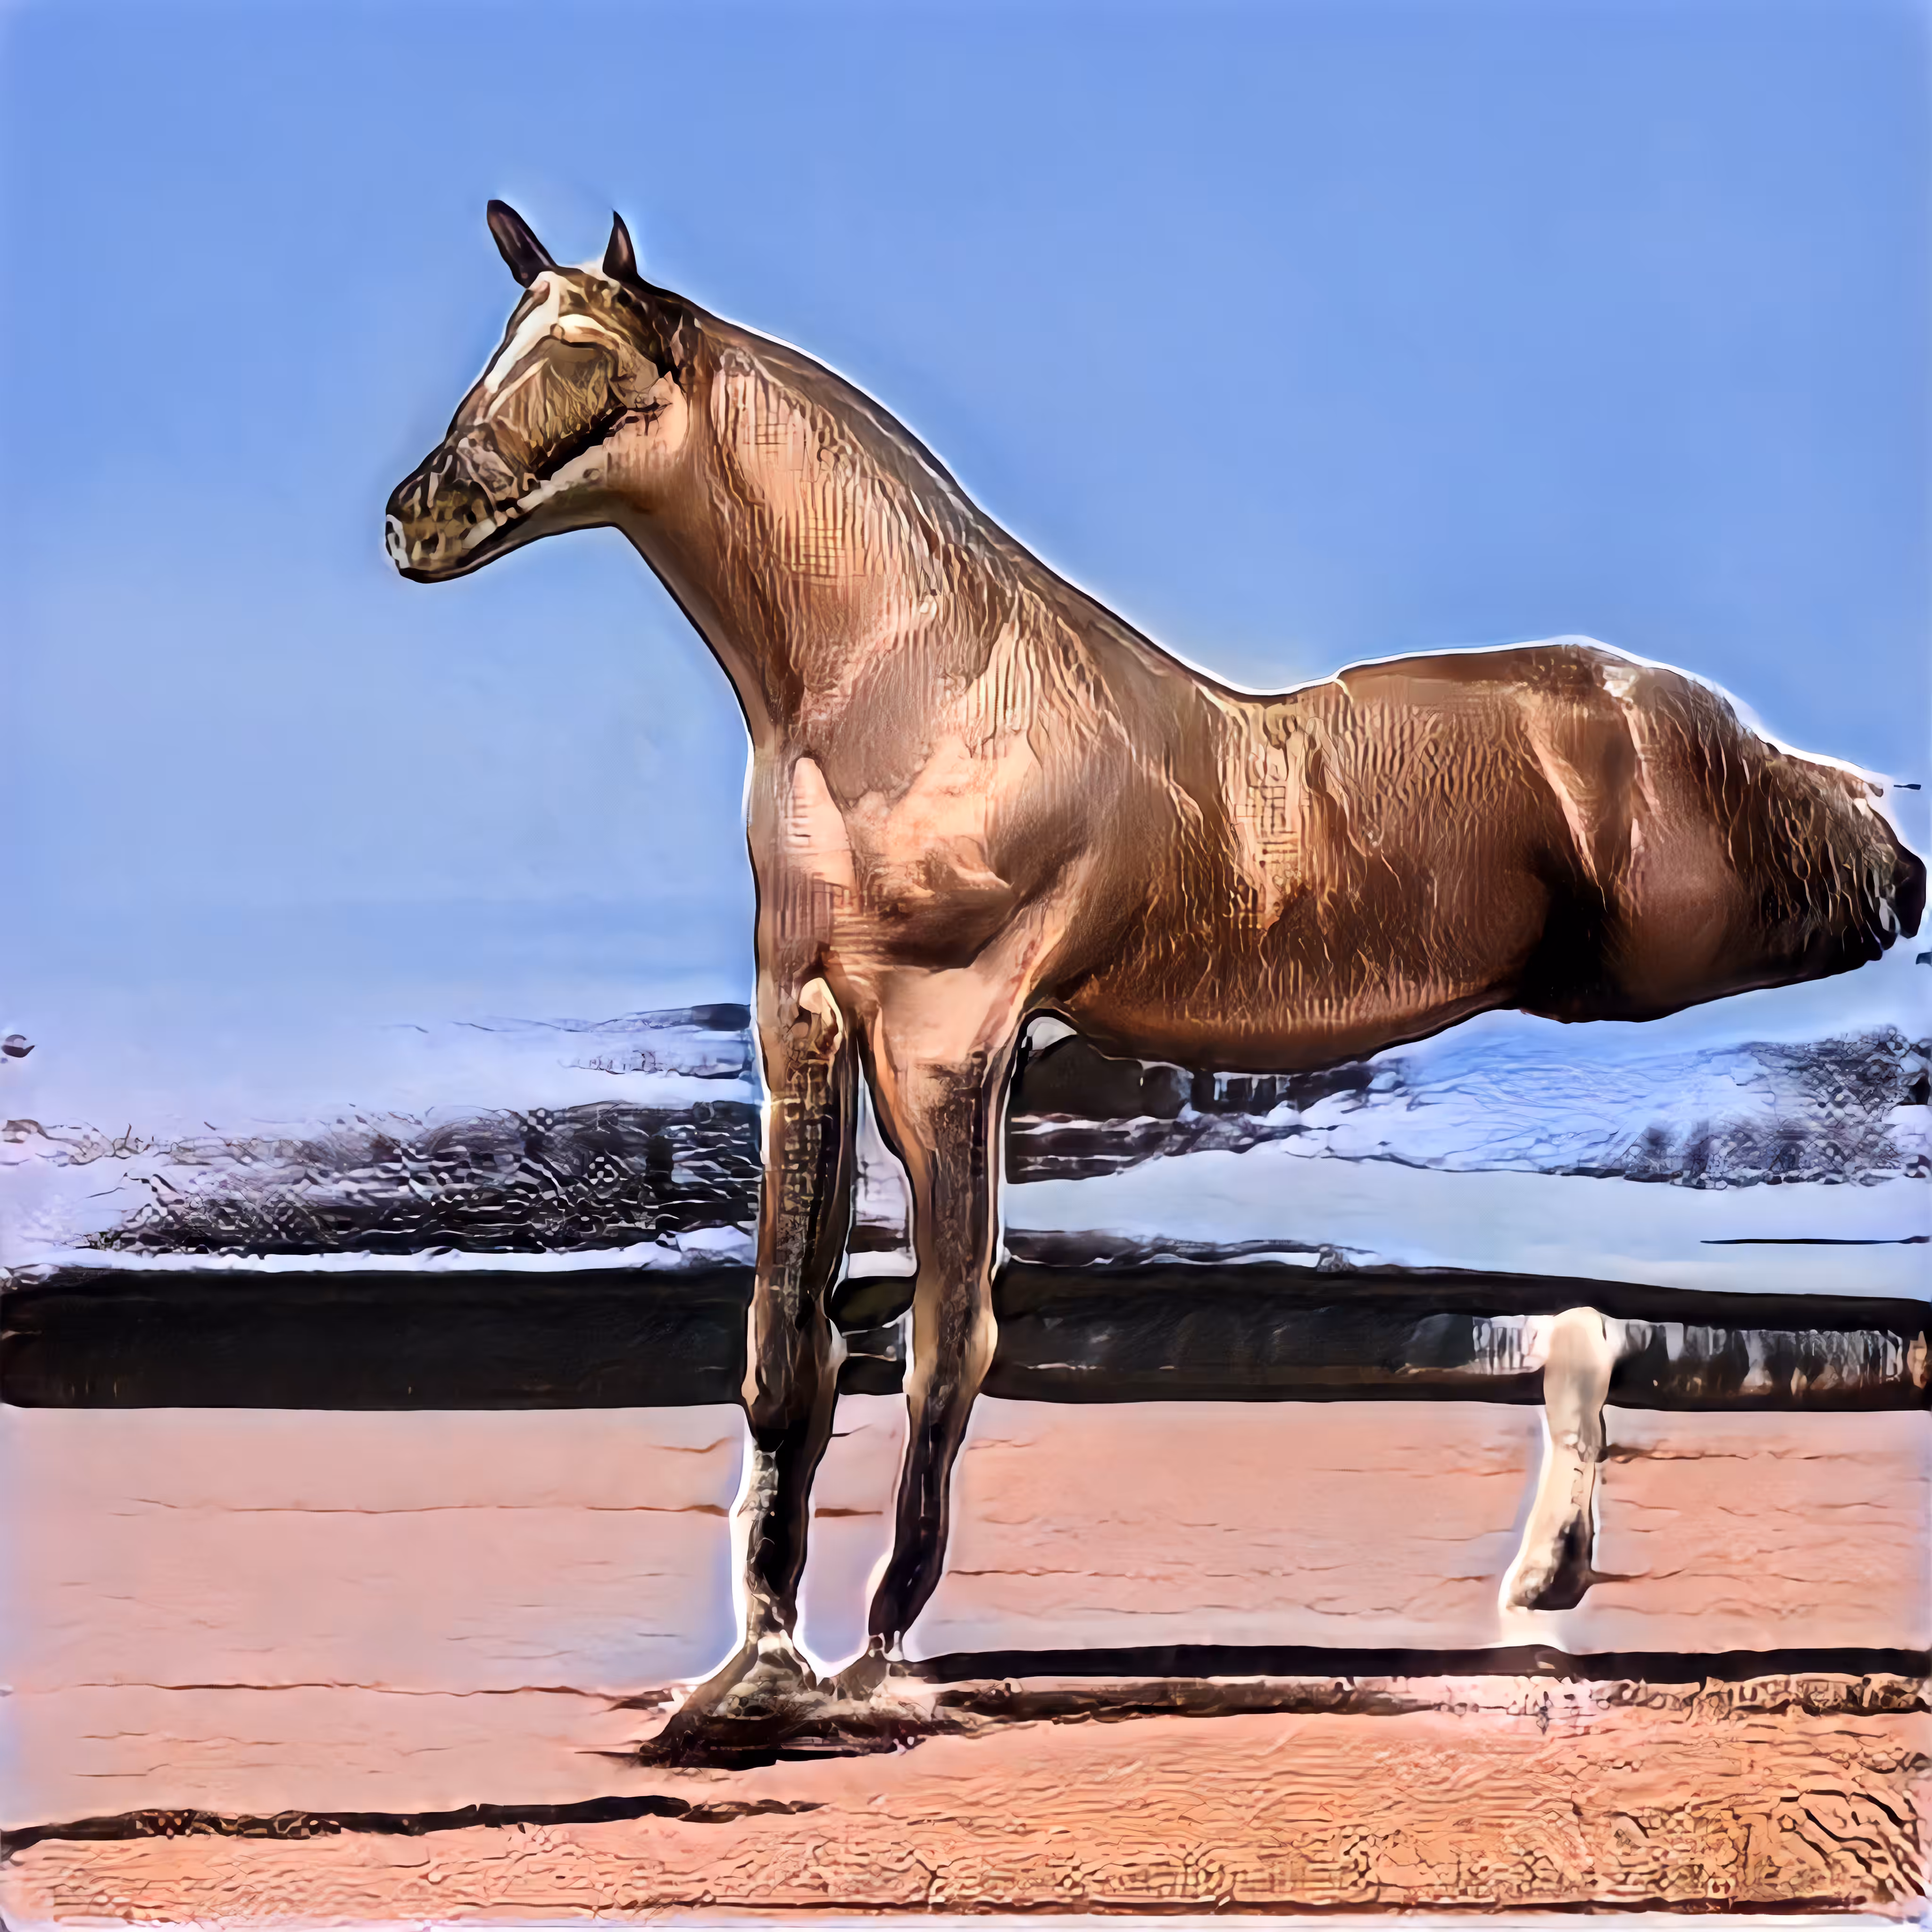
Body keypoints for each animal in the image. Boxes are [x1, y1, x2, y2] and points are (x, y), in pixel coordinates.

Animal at [387, 203, 1924, 1743]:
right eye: (506, 345)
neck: (914, 686)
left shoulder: (950, 1038)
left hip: (1751, 932)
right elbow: (784, 1345)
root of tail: (1687, 715)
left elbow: (949, 1337)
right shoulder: (804, 1020)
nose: (414, 520)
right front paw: (754, 1670)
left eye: (587, 362)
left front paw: (878, 1652)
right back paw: (1548, 1568)